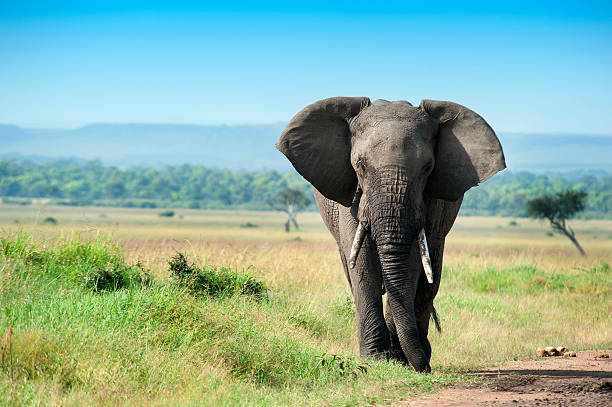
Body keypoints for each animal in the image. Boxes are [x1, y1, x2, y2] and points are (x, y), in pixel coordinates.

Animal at [274, 97, 504, 372]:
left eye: (428, 168)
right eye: (360, 165)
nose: (425, 370)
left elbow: (412, 263)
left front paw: (398, 360)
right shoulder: (351, 194)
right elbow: (361, 261)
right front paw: (375, 358)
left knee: (430, 280)